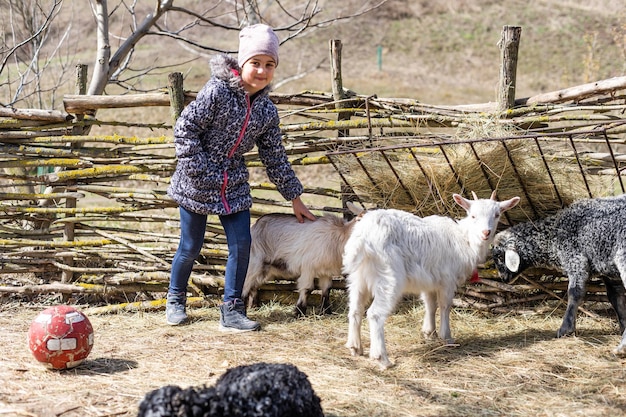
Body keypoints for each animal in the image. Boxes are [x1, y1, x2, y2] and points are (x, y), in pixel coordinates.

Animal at [342, 191, 516, 368]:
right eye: (473, 215)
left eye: (497, 215)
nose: (486, 233)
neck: (464, 238)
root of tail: (363, 237)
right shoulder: (447, 279)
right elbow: (445, 306)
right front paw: (447, 337)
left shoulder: (430, 280)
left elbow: (430, 304)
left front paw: (429, 333)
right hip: (388, 276)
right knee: (375, 314)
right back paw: (382, 359)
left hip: (358, 277)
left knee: (355, 309)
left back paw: (355, 347)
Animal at [490, 193, 624, 352]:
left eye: (499, 256)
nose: (503, 278)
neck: (552, 236)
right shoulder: (608, 271)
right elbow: (616, 297)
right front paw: (623, 326)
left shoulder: (575, 260)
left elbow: (574, 293)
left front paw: (565, 329)